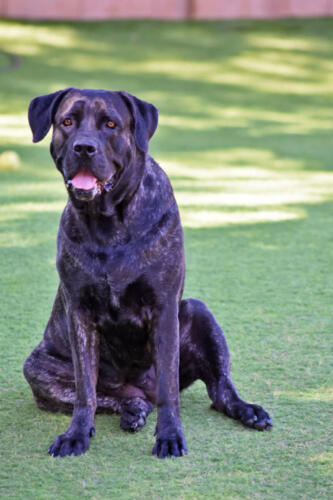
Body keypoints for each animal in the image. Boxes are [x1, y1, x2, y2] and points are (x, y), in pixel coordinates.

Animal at [24, 89, 272, 458]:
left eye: (111, 124)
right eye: (67, 121)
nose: (84, 147)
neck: (108, 222)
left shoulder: (164, 308)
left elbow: (170, 390)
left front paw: (169, 436)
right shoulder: (79, 313)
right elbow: (86, 391)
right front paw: (76, 435)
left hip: (198, 313)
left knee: (219, 390)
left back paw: (248, 411)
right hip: (37, 366)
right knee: (112, 398)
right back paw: (134, 411)